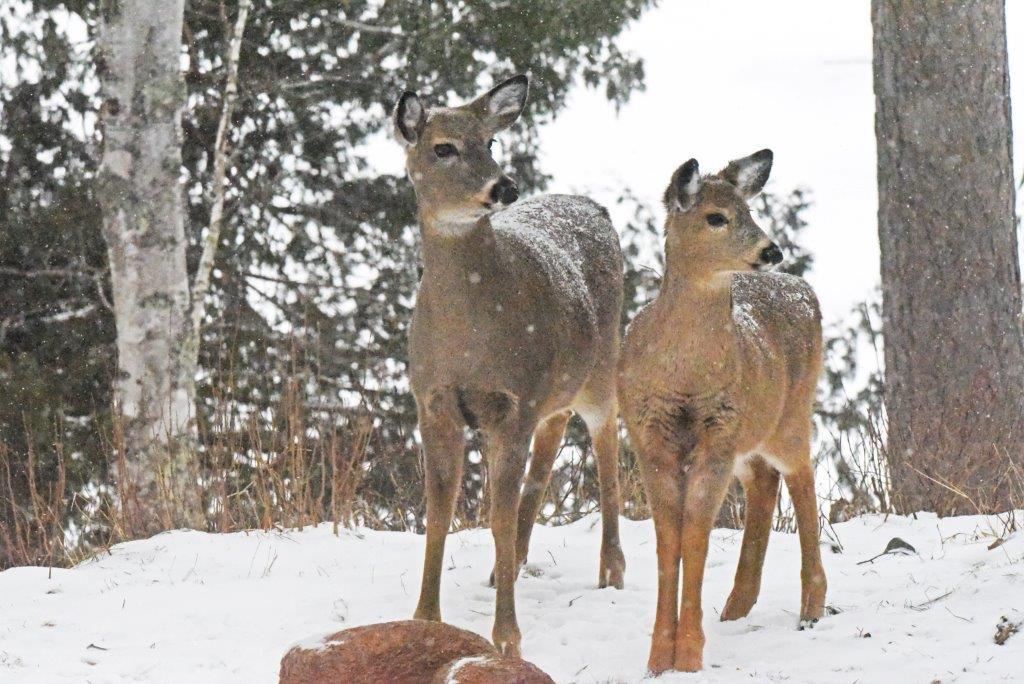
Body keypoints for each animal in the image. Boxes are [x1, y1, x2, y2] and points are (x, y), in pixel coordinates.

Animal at [392, 74, 626, 657]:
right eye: (443, 147)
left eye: (491, 142)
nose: (504, 187)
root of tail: (592, 206)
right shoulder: (432, 400)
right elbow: (439, 510)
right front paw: (425, 617)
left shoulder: (512, 402)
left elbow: (494, 515)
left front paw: (507, 638)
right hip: (554, 390)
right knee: (545, 460)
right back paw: (510, 568)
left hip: (600, 366)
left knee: (608, 450)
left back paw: (611, 569)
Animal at [617, 150, 827, 673]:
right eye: (716, 217)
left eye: (750, 210)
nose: (772, 251)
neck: (686, 378)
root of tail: (805, 290)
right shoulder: (648, 433)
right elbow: (668, 537)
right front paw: (658, 657)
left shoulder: (718, 431)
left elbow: (695, 532)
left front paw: (689, 653)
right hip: (748, 435)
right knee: (764, 482)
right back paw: (736, 605)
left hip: (789, 414)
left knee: (802, 477)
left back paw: (812, 605)